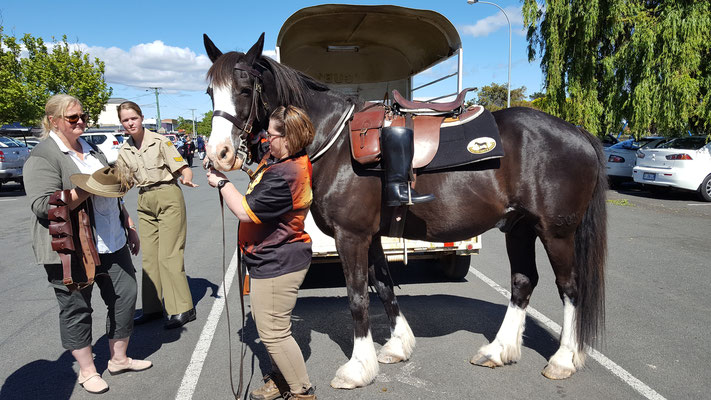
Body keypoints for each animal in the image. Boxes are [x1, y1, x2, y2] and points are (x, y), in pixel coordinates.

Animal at [204, 32, 608, 390]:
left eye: (245, 88)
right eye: (210, 92)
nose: (218, 154)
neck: (334, 142)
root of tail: (576, 131)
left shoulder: (351, 236)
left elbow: (357, 298)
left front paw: (357, 368)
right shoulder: (370, 236)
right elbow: (383, 285)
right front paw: (397, 347)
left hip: (556, 232)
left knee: (569, 287)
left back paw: (563, 359)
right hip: (520, 227)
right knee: (523, 282)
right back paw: (498, 350)